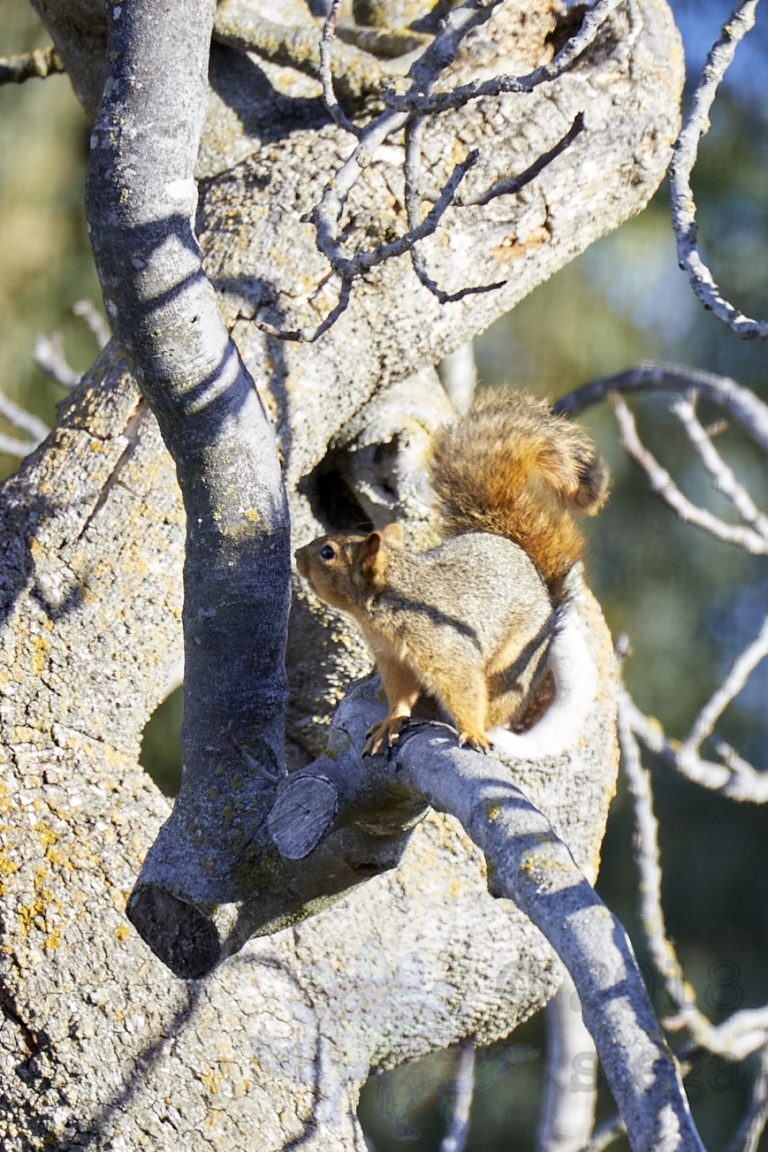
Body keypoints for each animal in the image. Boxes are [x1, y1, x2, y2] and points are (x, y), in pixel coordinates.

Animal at [295, 388, 608, 755]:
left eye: (327, 552)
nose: (297, 555)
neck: (387, 605)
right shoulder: (393, 659)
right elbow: (400, 694)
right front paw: (392, 720)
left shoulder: (446, 650)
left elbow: (463, 688)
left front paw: (471, 731)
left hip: (514, 665)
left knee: (495, 703)